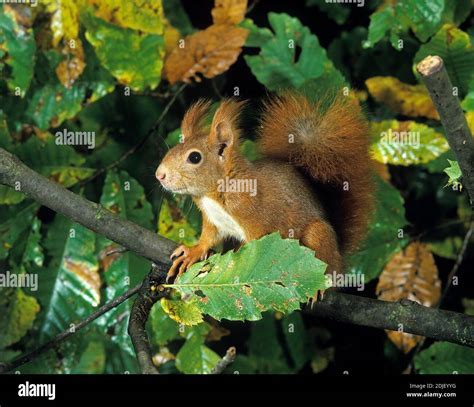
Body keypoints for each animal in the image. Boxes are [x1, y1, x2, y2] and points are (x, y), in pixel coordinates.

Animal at [156, 91, 374, 284]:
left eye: (194, 157)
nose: (159, 175)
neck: (216, 192)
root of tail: (340, 256)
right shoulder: (214, 221)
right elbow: (208, 238)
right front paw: (192, 251)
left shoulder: (258, 221)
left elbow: (256, 247)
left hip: (318, 235)